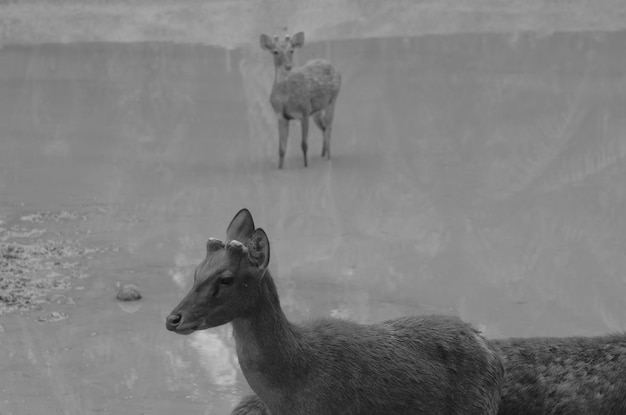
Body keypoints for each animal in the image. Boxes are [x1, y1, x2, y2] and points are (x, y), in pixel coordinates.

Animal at [260, 31, 342, 169]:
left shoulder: (304, 111)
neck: (285, 99)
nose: (288, 66)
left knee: (329, 130)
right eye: (275, 51)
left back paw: (329, 158)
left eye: (291, 50)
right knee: (323, 128)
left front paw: (306, 166)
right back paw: (322, 154)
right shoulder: (281, 116)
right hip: (316, 111)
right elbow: (281, 149)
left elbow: (304, 145)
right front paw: (279, 168)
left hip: (332, 100)